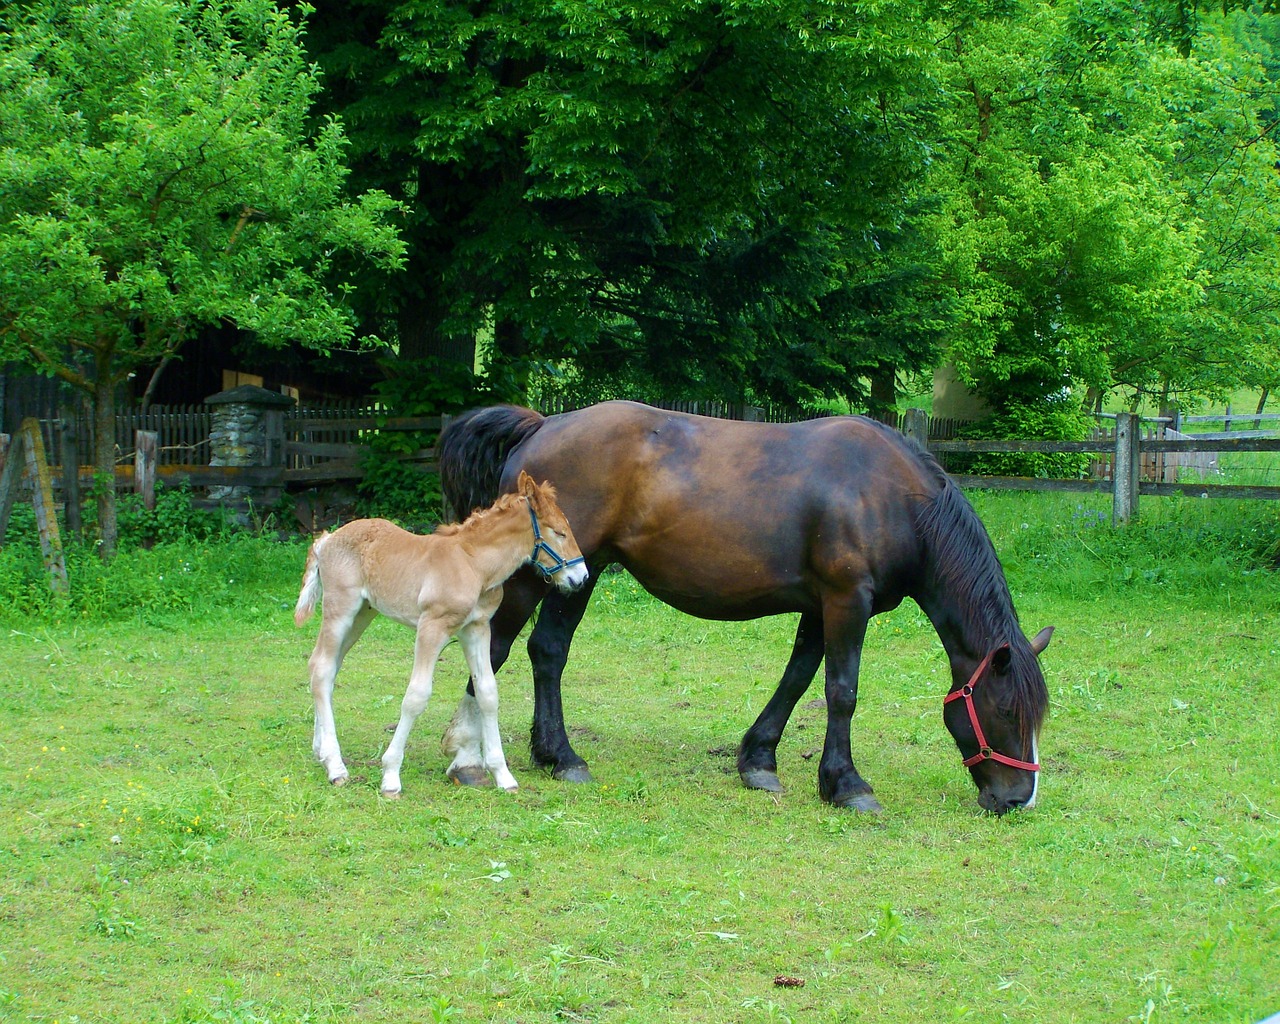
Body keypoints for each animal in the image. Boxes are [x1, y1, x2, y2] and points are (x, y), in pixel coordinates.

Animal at [293, 468, 586, 793]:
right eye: (560, 532)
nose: (581, 577)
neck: (473, 564)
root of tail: (326, 539)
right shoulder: (432, 627)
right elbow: (417, 695)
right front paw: (391, 775)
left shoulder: (476, 628)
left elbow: (487, 693)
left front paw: (502, 775)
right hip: (340, 609)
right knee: (322, 668)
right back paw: (335, 766)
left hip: (362, 614)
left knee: (325, 668)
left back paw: (321, 751)